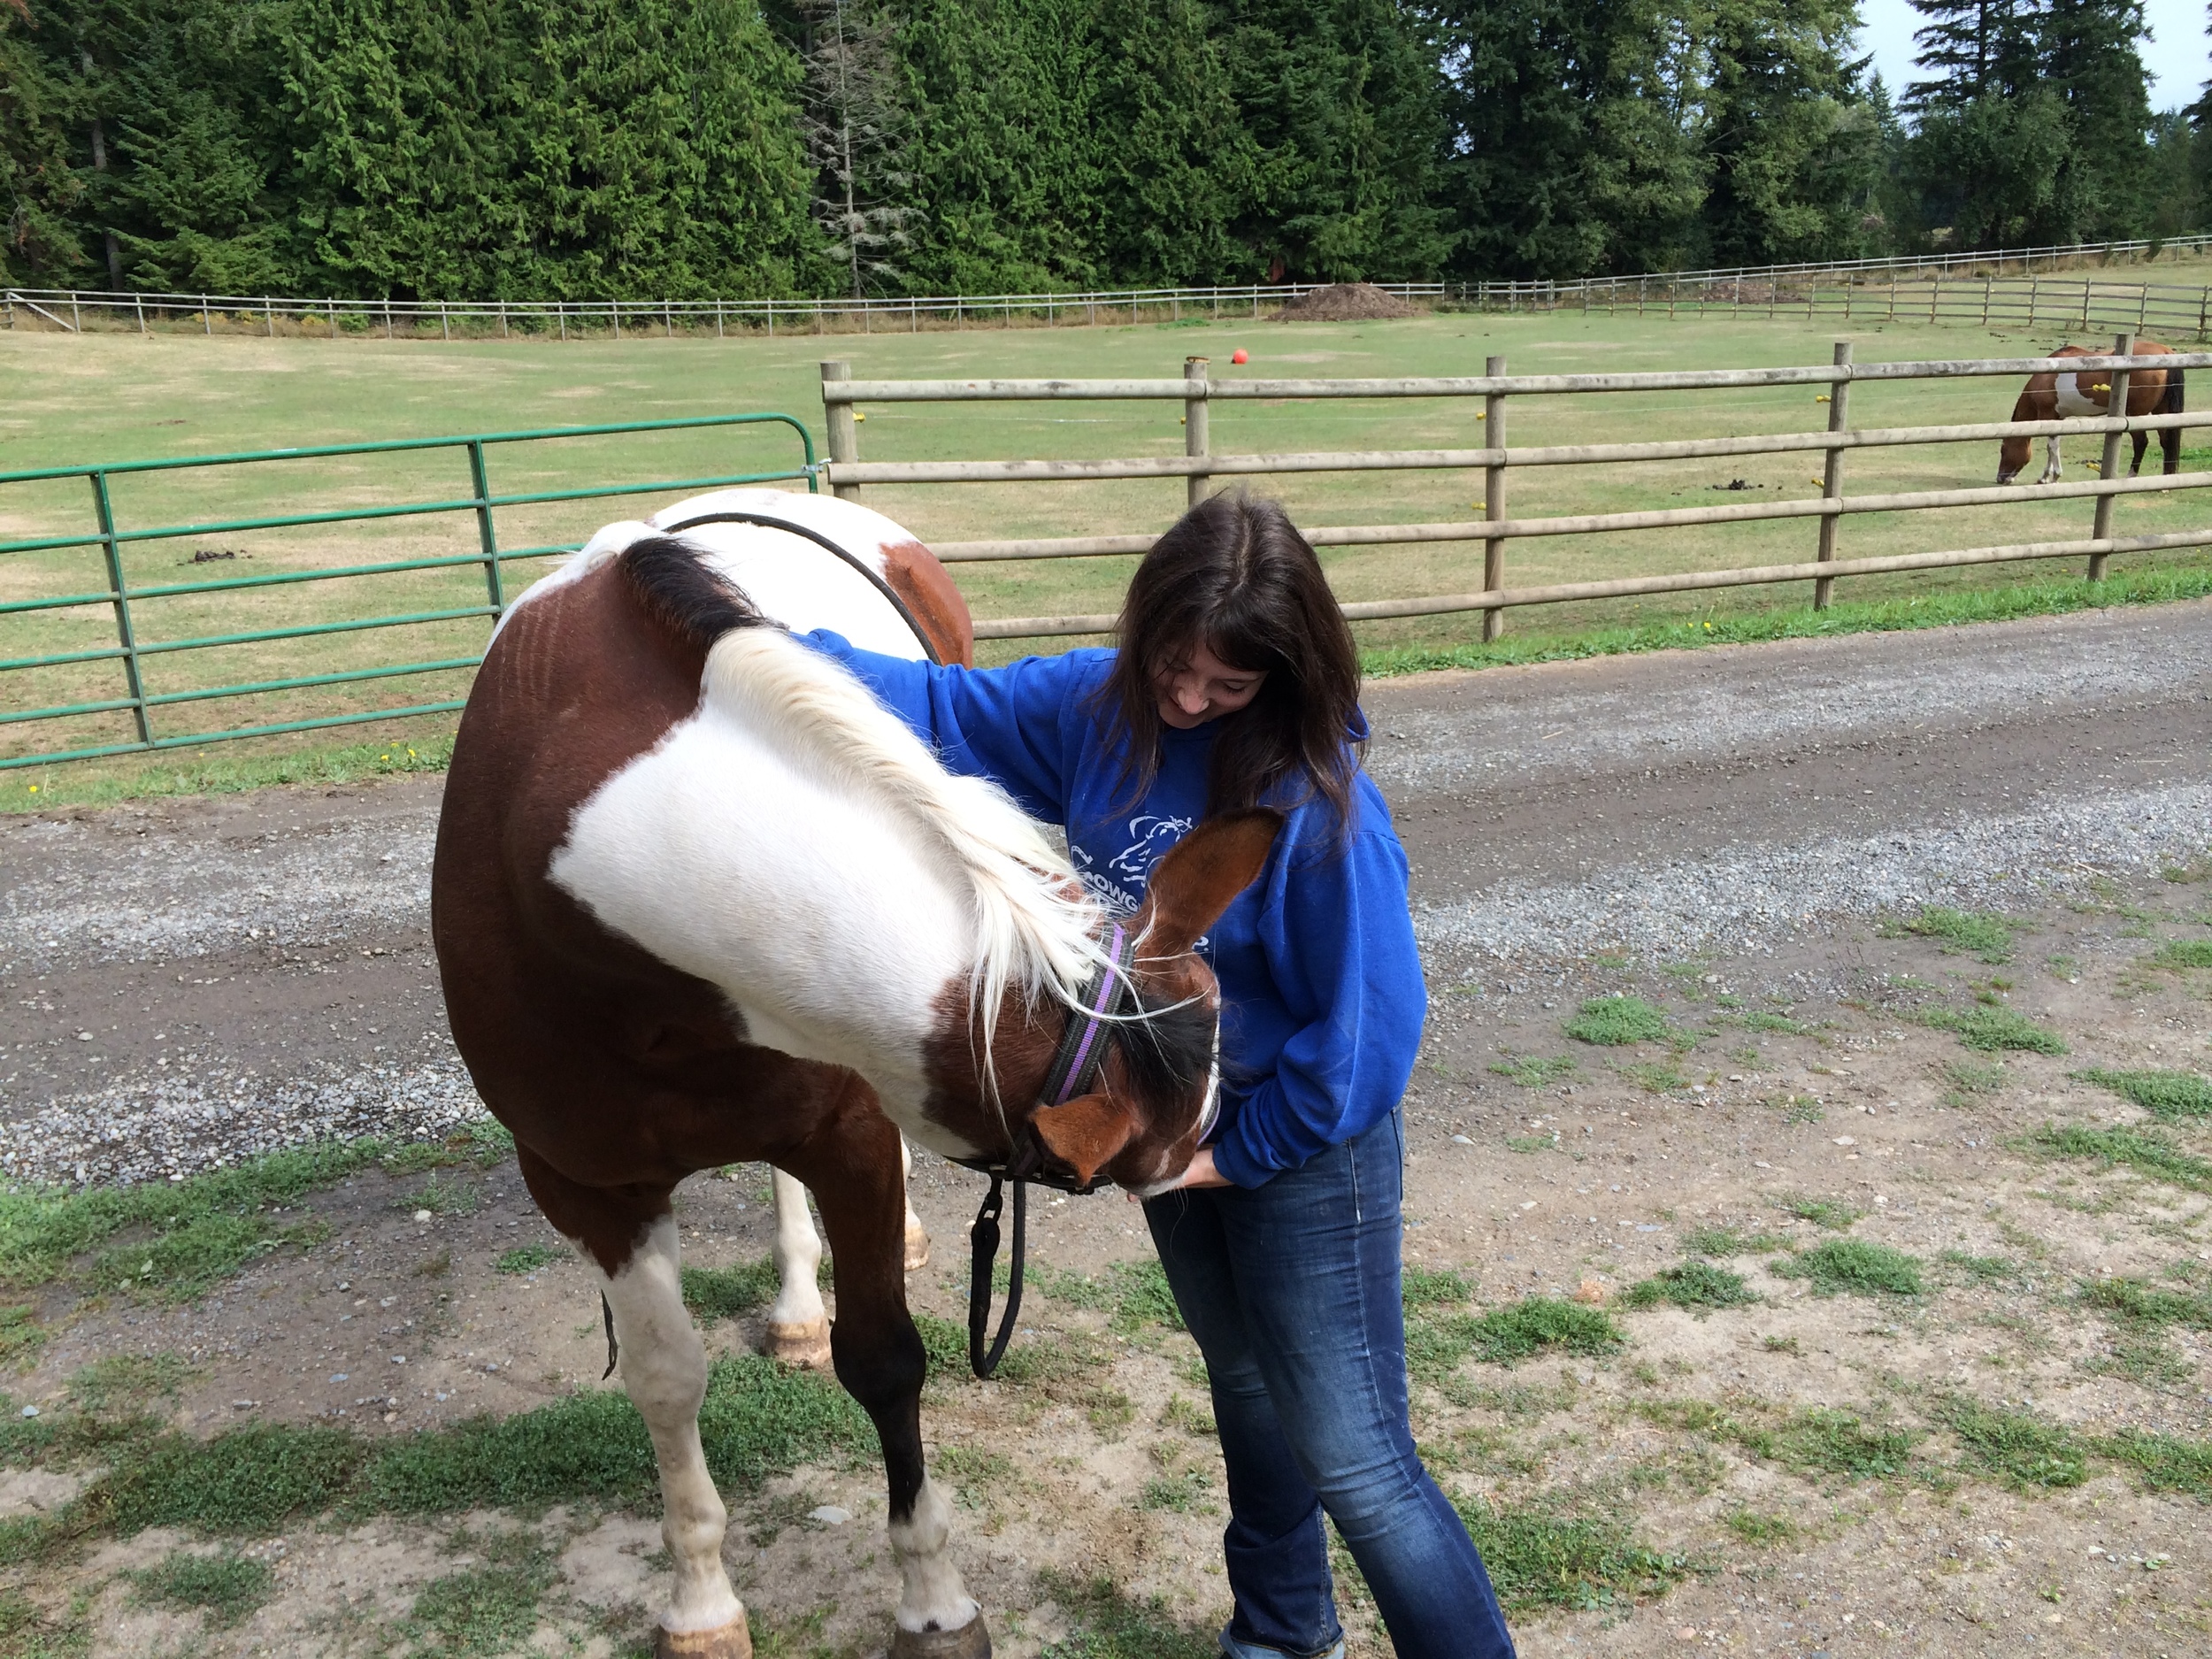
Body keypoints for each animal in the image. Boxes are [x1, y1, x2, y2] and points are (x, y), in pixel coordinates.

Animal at [432, 487, 1280, 1659]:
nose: (1213, 1178)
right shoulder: (590, 1189)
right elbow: (664, 1381)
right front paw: (702, 1600)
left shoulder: (856, 1137)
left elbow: (883, 1360)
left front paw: (932, 1601)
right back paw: (794, 1307)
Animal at [1997, 340, 2185, 485]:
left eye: (2003, 450)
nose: (2000, 478)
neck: (2044, 377)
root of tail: (2166, 352)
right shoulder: (2058, 417)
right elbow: (2053, 445)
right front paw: (2045, 477)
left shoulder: (2048, 414)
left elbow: (2052, 446)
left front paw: (2054, 476)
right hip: (2162, 412)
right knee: (2166, 441)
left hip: (2135, 414)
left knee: (2141, 442)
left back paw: (2131, 474)